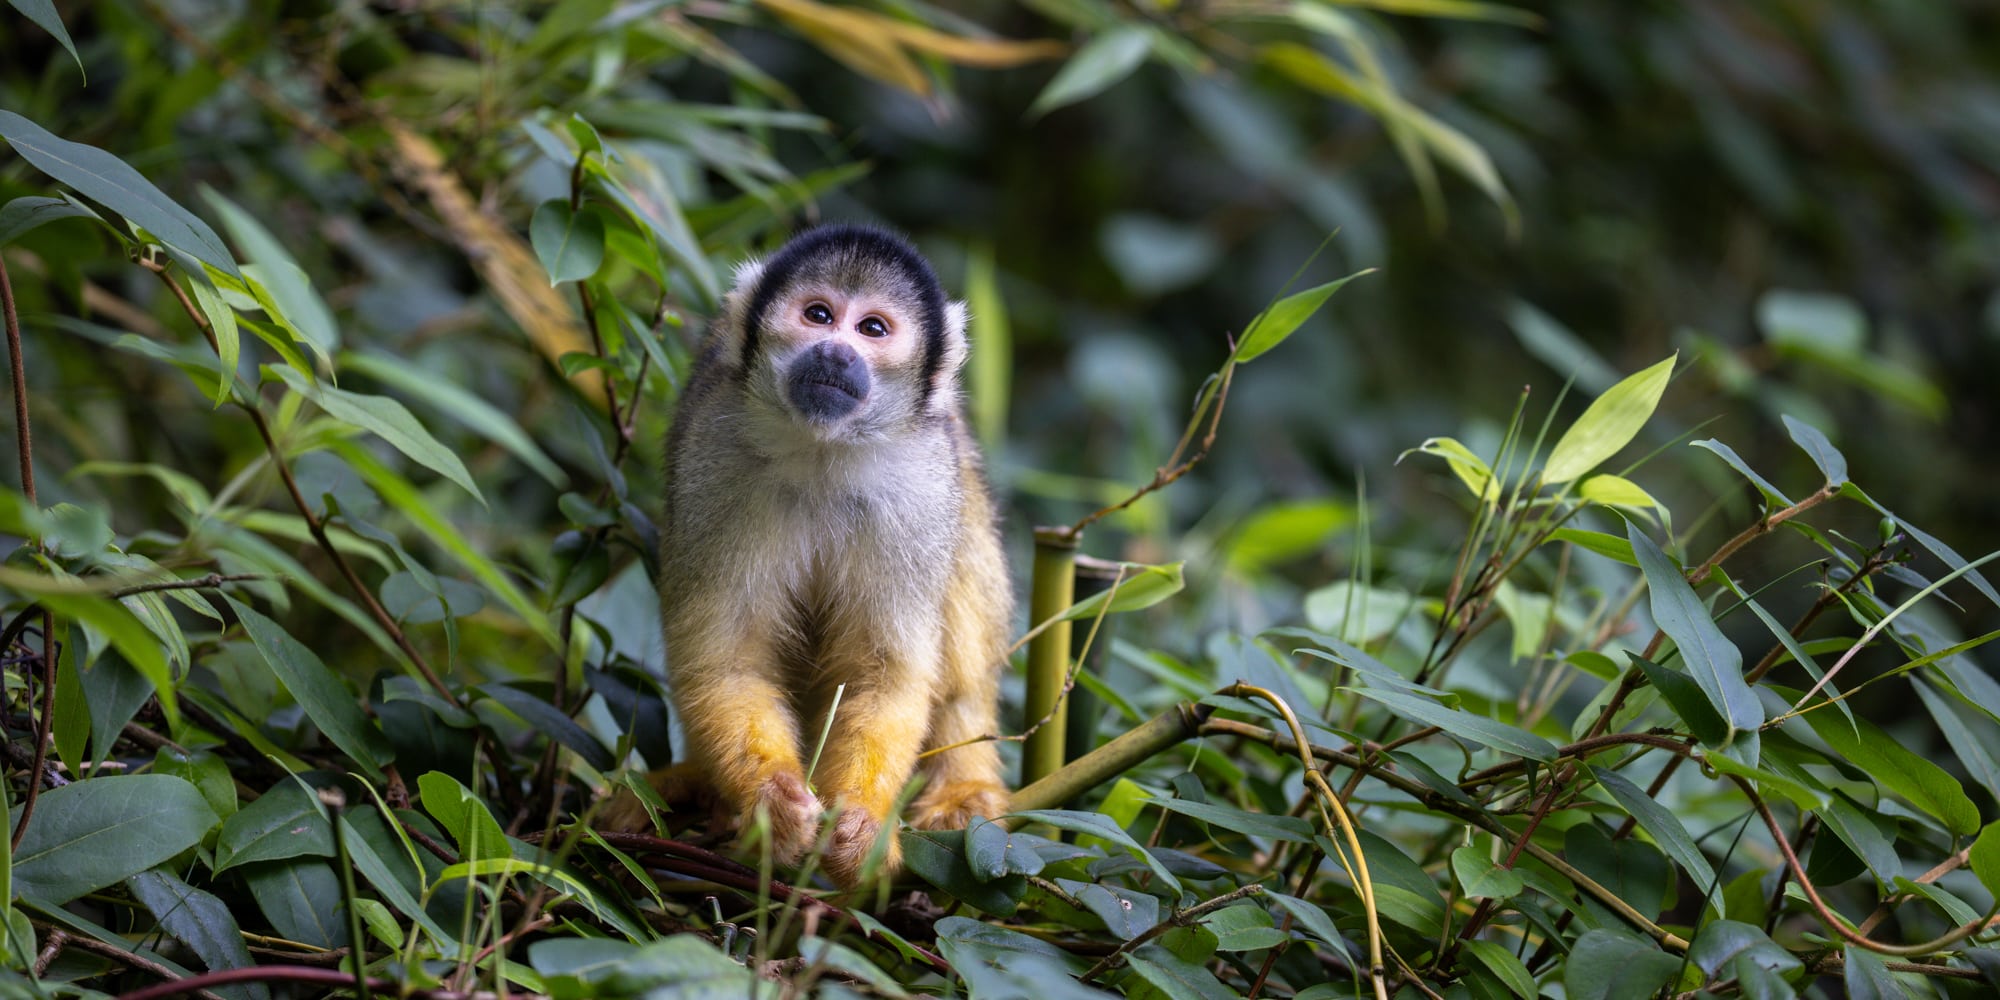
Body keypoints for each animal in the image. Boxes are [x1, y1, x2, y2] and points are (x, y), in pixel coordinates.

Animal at [616, 225, 1008, 884]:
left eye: (872, 328)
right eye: (818, 315)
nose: (836, 354)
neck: (823, 449)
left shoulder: (920, 486)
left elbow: (884, 670)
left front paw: (861, 826)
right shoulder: (716, 461)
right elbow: (729, 659)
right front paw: (772, 803)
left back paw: (964, 783)